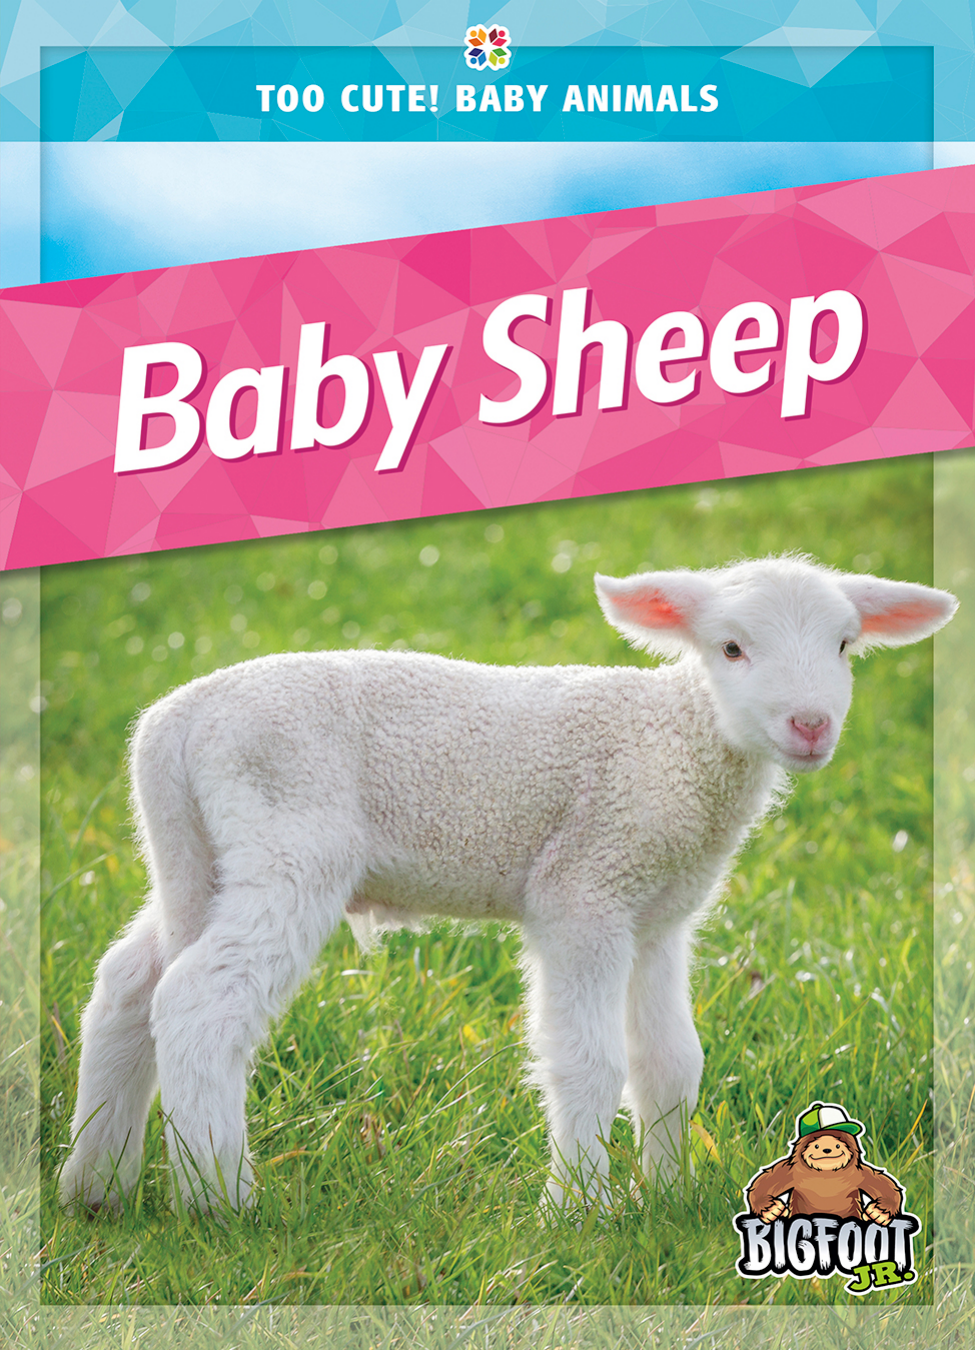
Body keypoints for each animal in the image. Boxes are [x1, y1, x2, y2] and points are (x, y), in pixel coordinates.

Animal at [59, 554, 956, 1216]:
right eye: (731, 649)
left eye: (844, 647)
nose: (810, 725)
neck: (670, 741)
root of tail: (174, 725)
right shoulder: (584, 890)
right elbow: (589, 1060)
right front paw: (581, 1209)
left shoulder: (658, 915)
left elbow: (669, 1060)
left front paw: (667, 1197)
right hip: (286, 840)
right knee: (198, 1002)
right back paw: (221, 1200)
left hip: (197, 856)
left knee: (128, 985)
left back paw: (97, 1184)